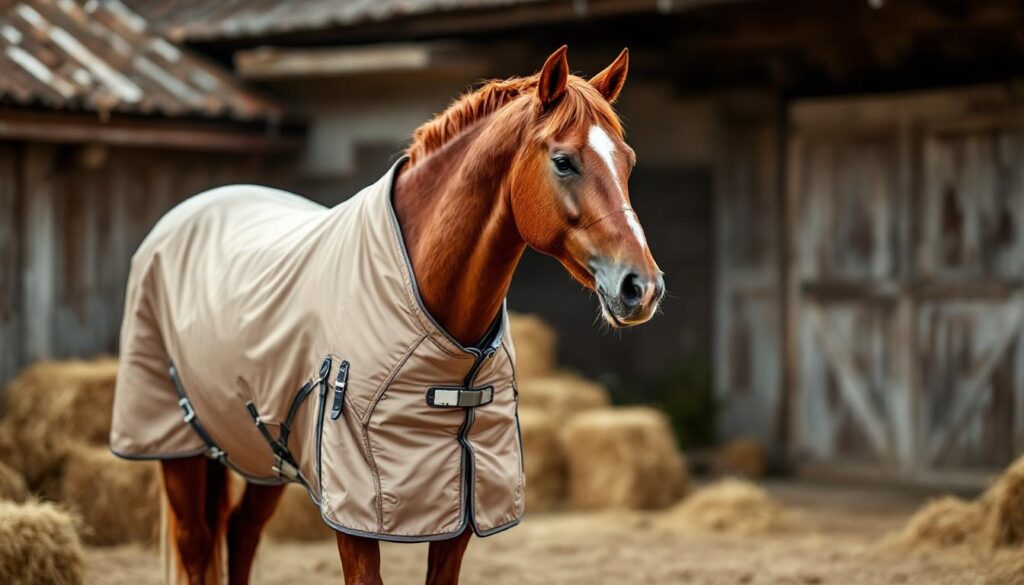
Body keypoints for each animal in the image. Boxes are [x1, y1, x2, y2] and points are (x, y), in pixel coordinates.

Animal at [114, 45, 663, 585]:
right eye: (564, 161)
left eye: (628, 161)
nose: (643, 287)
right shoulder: (354, 517)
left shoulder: (462, 510)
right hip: (176, 444)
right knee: (197, 542)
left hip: (265, 450)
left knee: (241, 532)